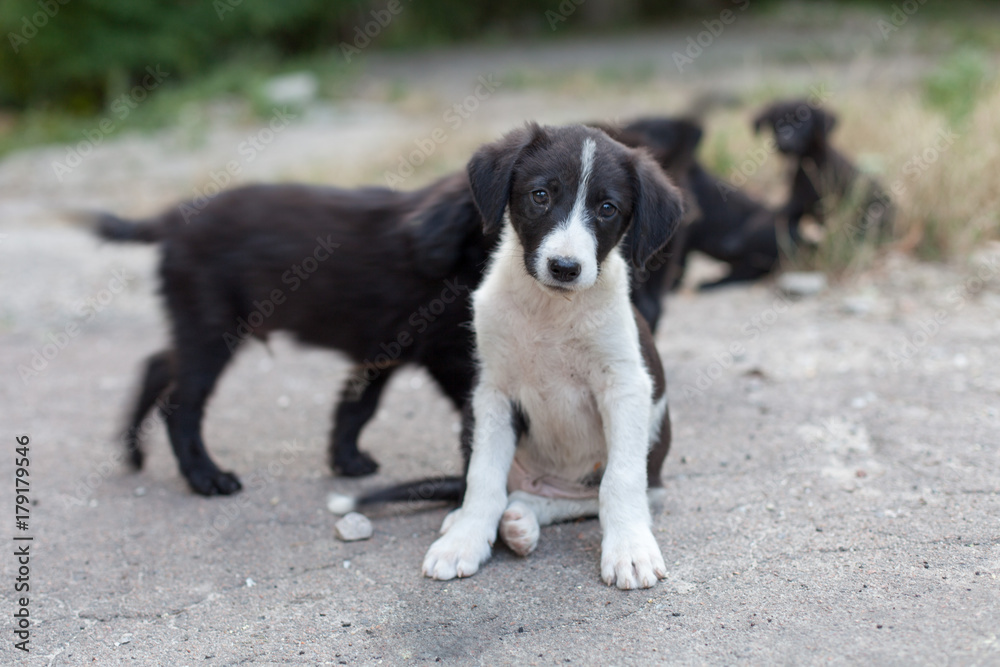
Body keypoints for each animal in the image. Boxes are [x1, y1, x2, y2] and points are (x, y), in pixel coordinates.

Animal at [95, 175, 494, 498]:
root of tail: (174, 220)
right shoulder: (444, 353)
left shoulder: (383, 349)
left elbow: (356, 407)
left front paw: (346, 460)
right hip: (210, 327)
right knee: (180, 406)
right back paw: (206, 478)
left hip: (199, 327)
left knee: (157, 365)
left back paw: (134, 452)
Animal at [418, 124, 684, 588]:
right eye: (540, 195)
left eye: (608, 208)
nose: (564, 267)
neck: (551, 311)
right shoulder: (494, 391)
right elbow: (483, 477)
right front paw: (465, 540)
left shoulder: (625, 387)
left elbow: (619, 480)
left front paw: (630, 549)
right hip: (472, 416)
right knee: (508, 486)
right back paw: (480, 520)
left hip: (647, 461)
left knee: (581, 498)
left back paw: (522, 518)